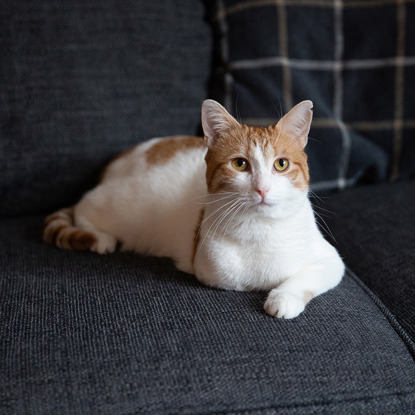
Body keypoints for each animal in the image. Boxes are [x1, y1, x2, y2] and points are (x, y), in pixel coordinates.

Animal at [44, 99, 346, 320]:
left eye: (281, 164)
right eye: (240, 164)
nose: (263, 189)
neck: (261, 229)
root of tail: (121, 159)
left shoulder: (332, 260)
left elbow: (305, 277)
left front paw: (283, 298)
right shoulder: (210, 270)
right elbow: (245, 280)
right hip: (119, 206)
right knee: (85, 206)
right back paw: (100, 238)